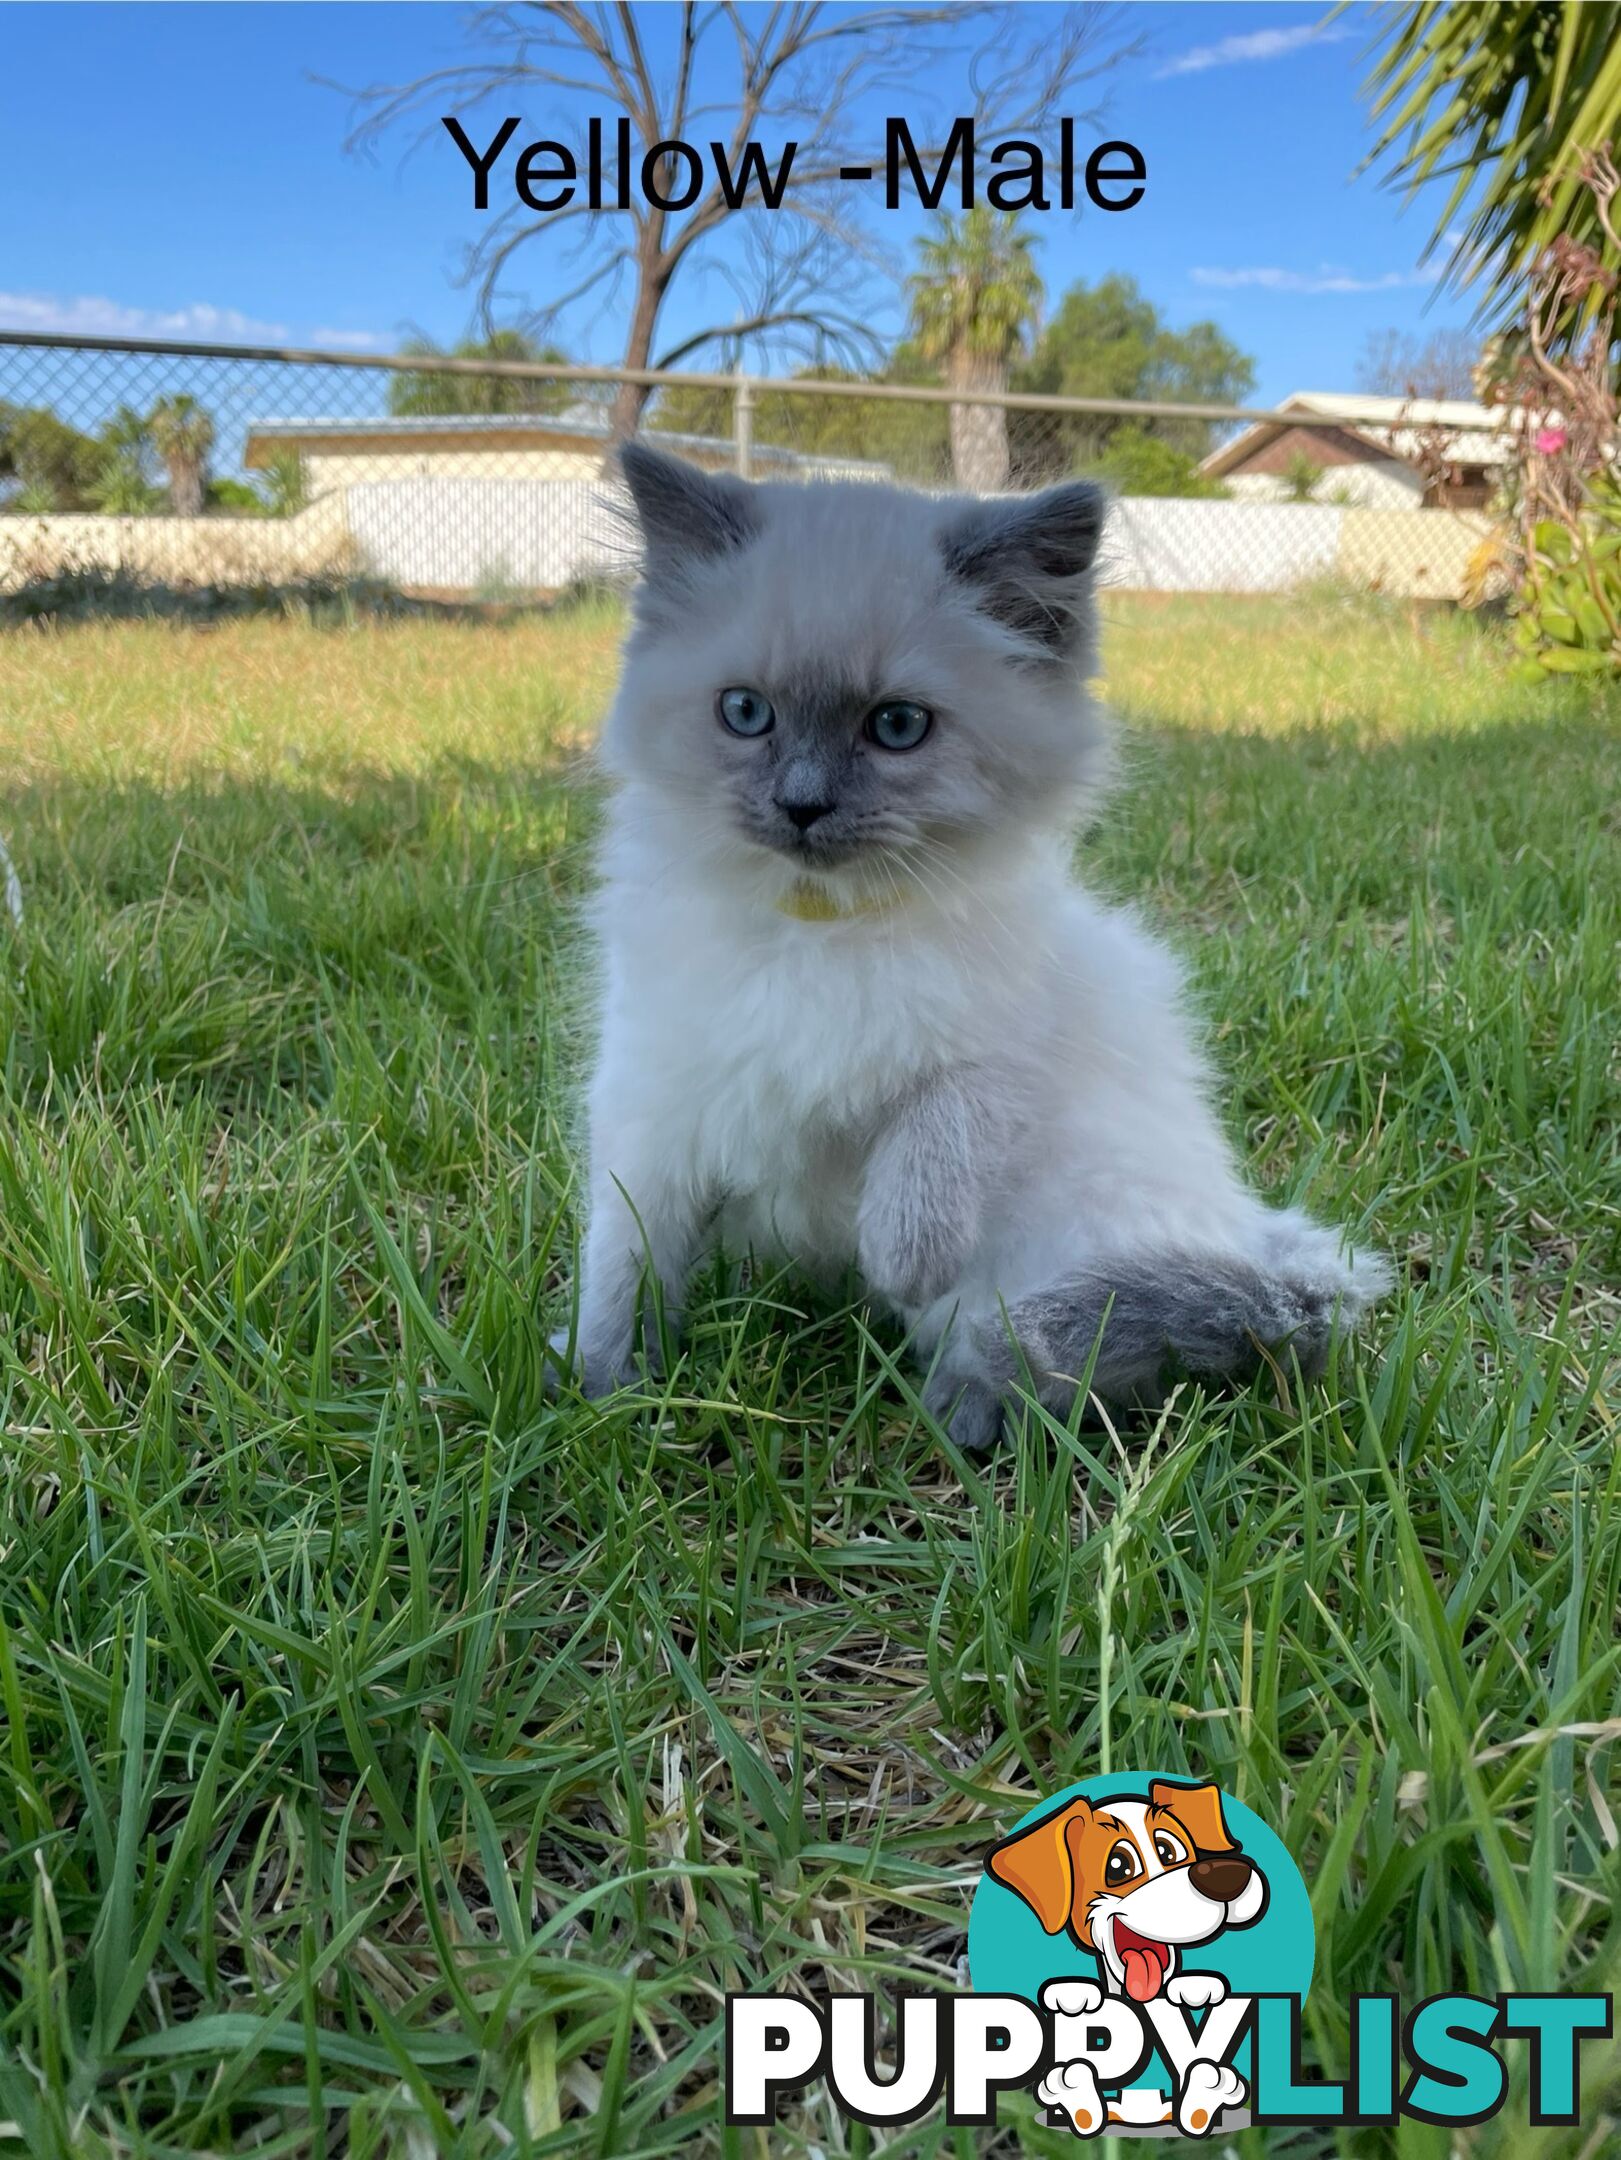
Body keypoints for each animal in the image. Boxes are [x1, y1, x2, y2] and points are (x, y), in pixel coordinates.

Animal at [561, 442, 1400, 1451]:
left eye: (895, 726)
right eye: (744, 713)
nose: (801, 807)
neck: (825, 930)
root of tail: (1245, 1229)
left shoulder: (1000, 1051)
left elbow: (935, 1126)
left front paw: (897, 1253)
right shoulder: (656, 1105)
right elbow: (622, 1268)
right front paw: (602, 1396)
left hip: (1057, 1241)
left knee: (1068, 1353)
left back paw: (963, 1412)